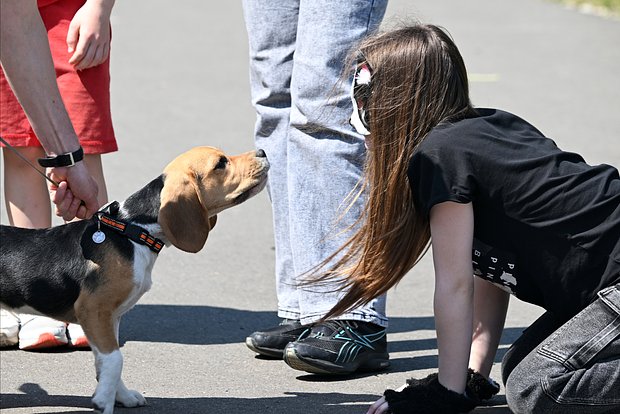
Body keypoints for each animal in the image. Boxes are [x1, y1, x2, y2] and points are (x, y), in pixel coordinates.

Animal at [0, 146, 268, 414]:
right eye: (220, 163)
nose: (263, 152)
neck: (135, 231)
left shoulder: (109, 318)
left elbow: (106, 363)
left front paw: (121, 395)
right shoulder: (94, 310)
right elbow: (115, 359)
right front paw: (103, 401)